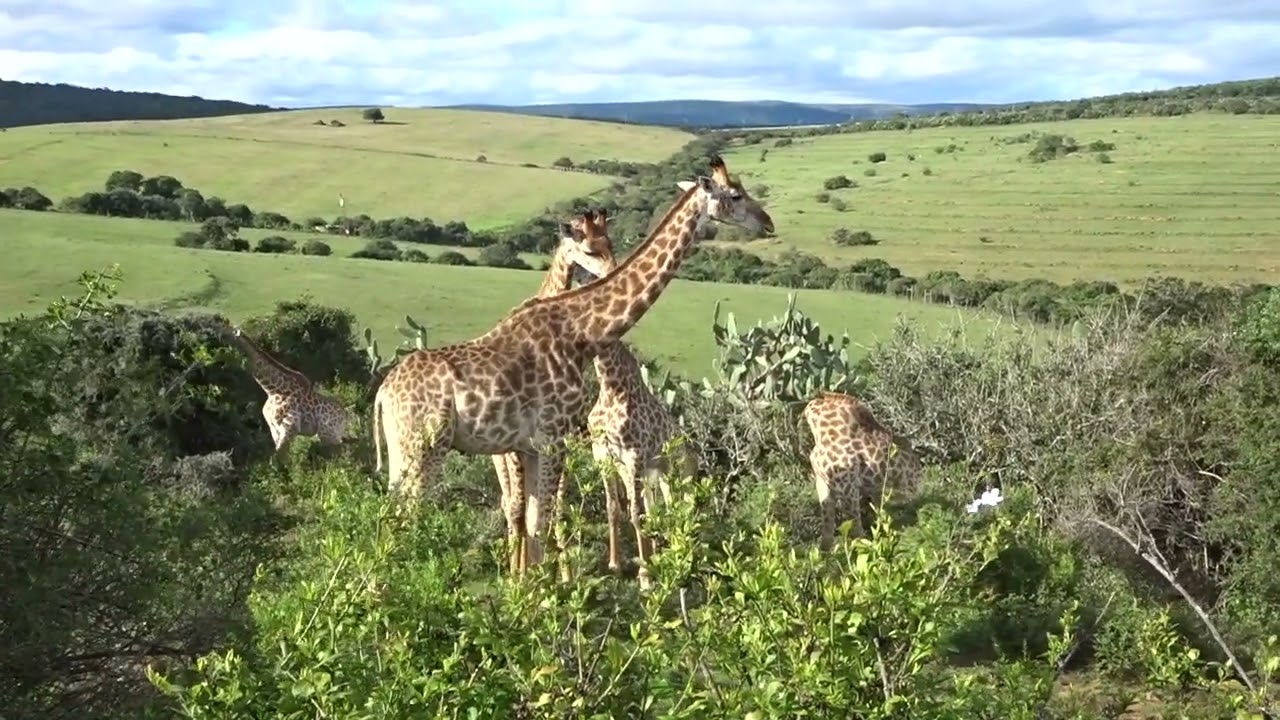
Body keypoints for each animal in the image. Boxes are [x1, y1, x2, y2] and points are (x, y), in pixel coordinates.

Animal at [224, 325, 355, 453]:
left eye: (227, 330)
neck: (273, 390)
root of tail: (345, 416)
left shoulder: (290, 427)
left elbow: (281, 455)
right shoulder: (274, 429)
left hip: (327, 434)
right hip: (327, 435)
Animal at [490, 208, 617, 573]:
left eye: (610, 242)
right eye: (588, 249)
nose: (613, 271)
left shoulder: (564, 434)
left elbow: (556, 506)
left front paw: (563, 575)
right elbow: (525, 509)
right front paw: (524, 575)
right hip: (500, 455)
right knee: (511, 506)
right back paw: (514, 572)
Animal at [587, 340, 700, 588]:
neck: (610, 390)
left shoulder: (634, 454)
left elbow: (635, 512)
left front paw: (645, 575)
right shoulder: (603, 454)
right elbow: (614, 507)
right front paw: (615, 565)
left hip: (676, 475)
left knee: (678, 508)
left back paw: (678, 554)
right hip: (651, 476)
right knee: (656, 510)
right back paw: (658, 555)